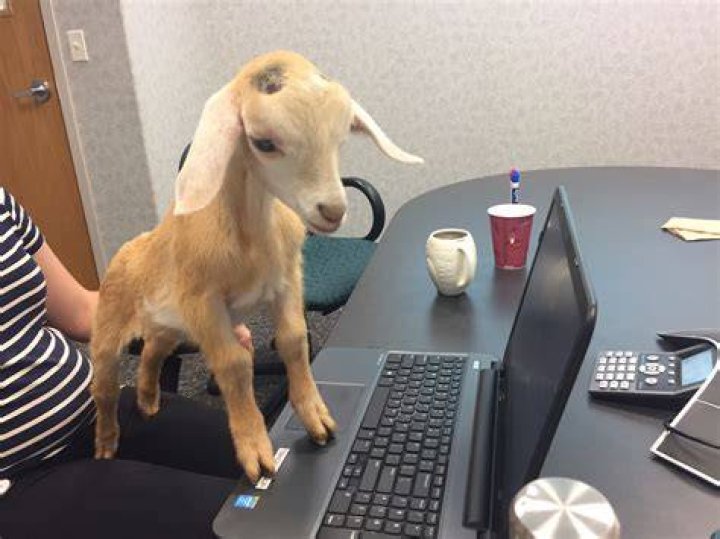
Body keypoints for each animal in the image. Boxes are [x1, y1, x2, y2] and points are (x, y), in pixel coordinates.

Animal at [90, 51, 423, 482]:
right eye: (264, 143)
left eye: (340, 138)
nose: (332, 211)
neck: (251, 236)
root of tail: (128, 251)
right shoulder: (203, 302)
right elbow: (234, 365)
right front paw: (255, 450)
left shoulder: (286, 281)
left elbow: (294, 341)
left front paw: (315, 417)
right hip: (109, 327)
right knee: (104, 387)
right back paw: (106, 443)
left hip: (170, 325)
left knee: (152, 350)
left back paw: (148, 400)